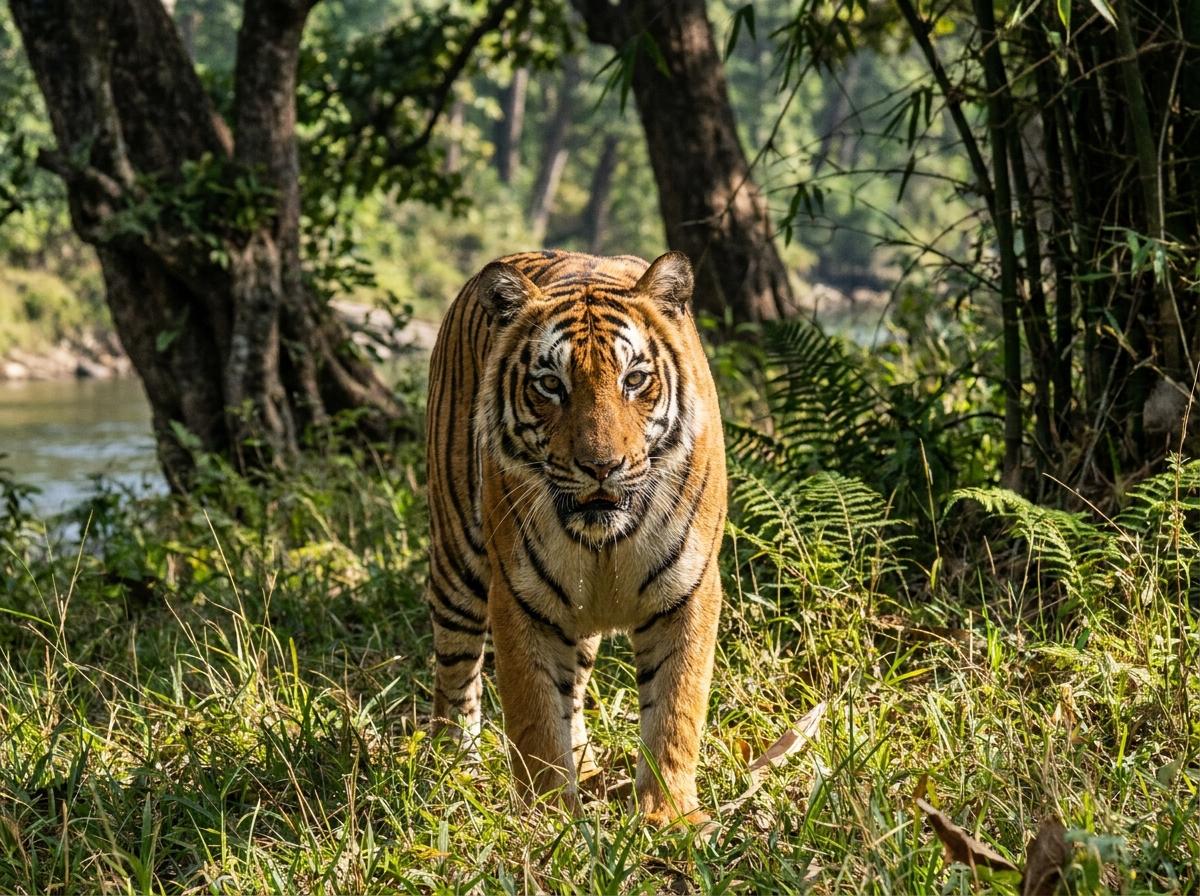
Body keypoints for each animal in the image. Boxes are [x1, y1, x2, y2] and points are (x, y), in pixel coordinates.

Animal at [424, 249, 727, 825]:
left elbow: (674, 712)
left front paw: (668, 815)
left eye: (634, 379)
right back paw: (454, 773)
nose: (601, 467)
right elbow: (537, 719)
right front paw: (548, 819)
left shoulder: (689, 591)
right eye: (550, 385)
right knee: (456, 678)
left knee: (577, 690)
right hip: (457, 564)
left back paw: (586, 772)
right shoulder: (520, 598)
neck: (606, 541)